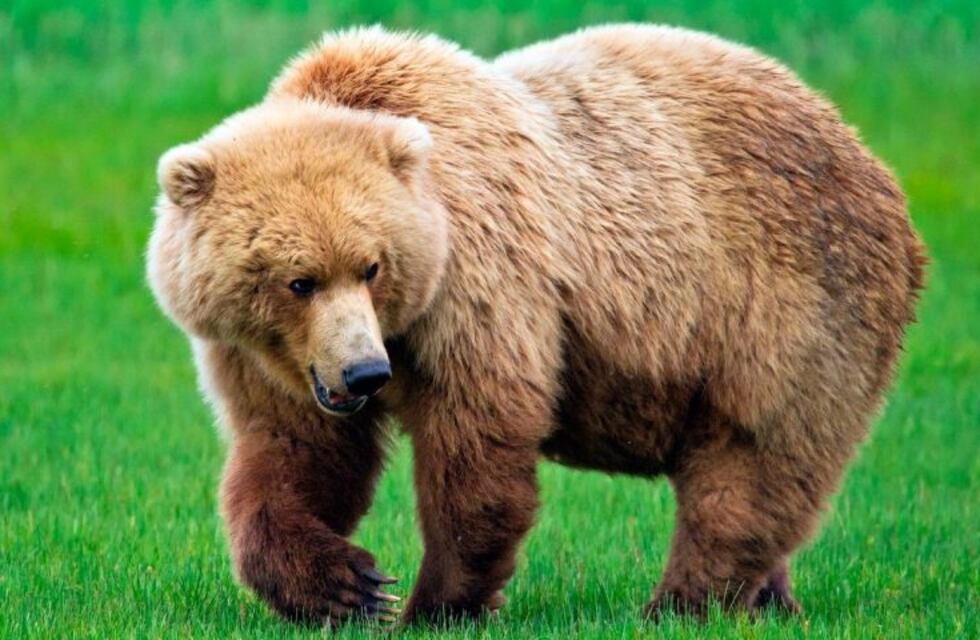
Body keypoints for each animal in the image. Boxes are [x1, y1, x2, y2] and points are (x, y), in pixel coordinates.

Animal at [147, 24, 925, 626]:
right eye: (298, 280)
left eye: (371, 265)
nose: (366, 374)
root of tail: (867, 155)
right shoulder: (268, 355)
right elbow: (294, 453)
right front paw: (347, 585)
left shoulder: (479, 279)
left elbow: (478, 437)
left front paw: (435, 603)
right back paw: (769, 599)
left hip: (785, 302)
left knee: (753, 457)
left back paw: (682, 602)